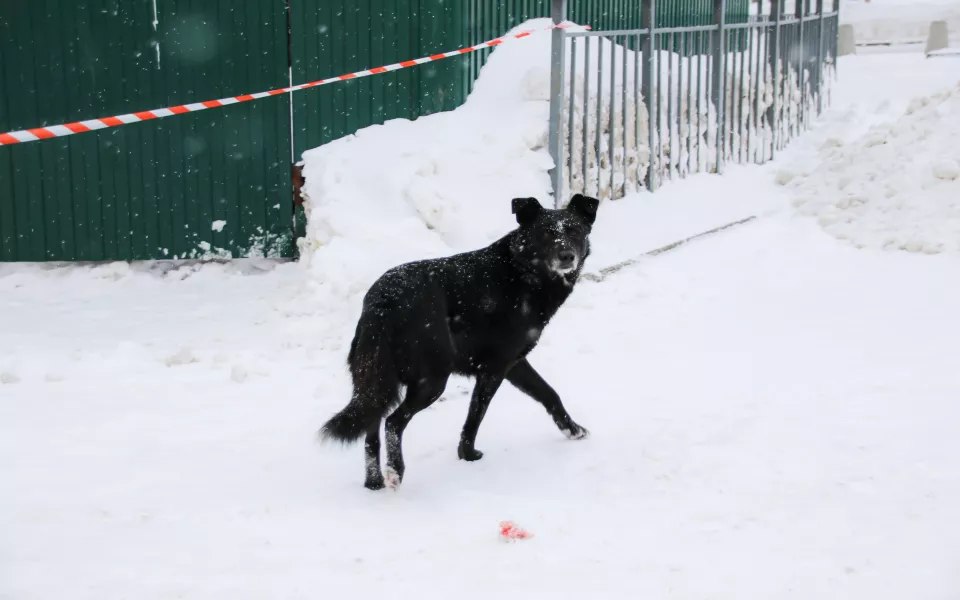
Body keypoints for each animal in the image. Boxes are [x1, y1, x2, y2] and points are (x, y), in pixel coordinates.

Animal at [318, 192, 596, 488]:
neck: (522, 270)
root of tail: (383, 301)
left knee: (371, 425)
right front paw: (468, 454)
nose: (566, 256)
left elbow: (549, 393)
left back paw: (374, 481)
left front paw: (573, 430)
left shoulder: (513, 363)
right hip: (431, 380)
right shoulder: (494, 368)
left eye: (575, 231)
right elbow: (476, 415)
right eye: (545, 233)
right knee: (393, 422)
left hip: (378, 378)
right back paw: (395, 471)